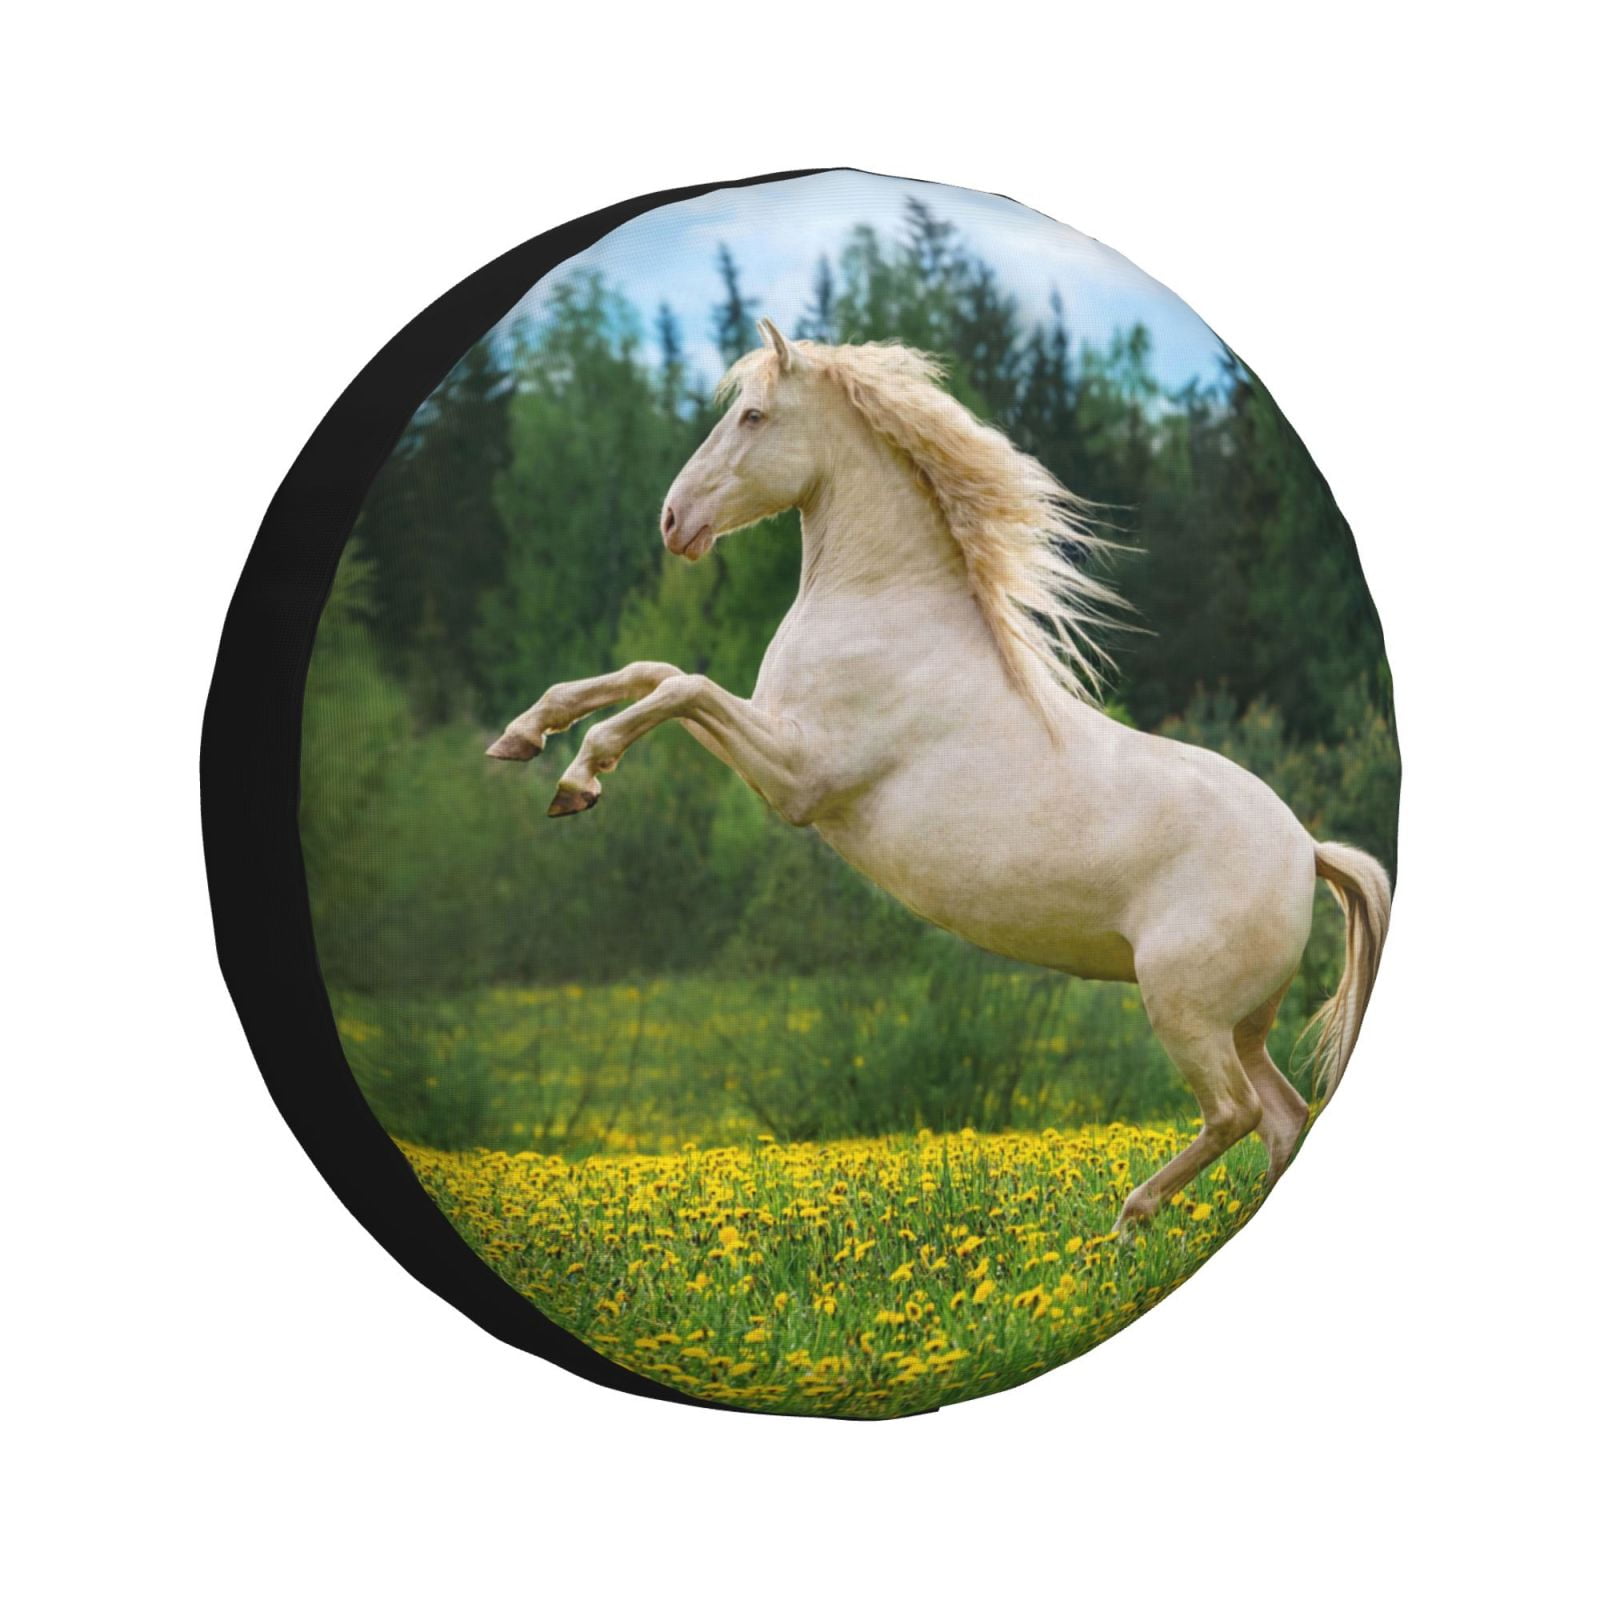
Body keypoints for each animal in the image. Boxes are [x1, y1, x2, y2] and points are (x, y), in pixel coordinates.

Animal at [487, 319, 1391, 1233]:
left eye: (751, 415)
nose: (675, 521)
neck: (886, 609)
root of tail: (1307, 851)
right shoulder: (776, 740)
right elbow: (654, 670)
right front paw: (523, 736)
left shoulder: (798, 777)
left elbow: (681, 687)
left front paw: (580, 779)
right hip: (1240, 1024)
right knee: (1283, 1118)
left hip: (1184, 1008)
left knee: (1234, 1113)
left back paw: (1129, 1218)